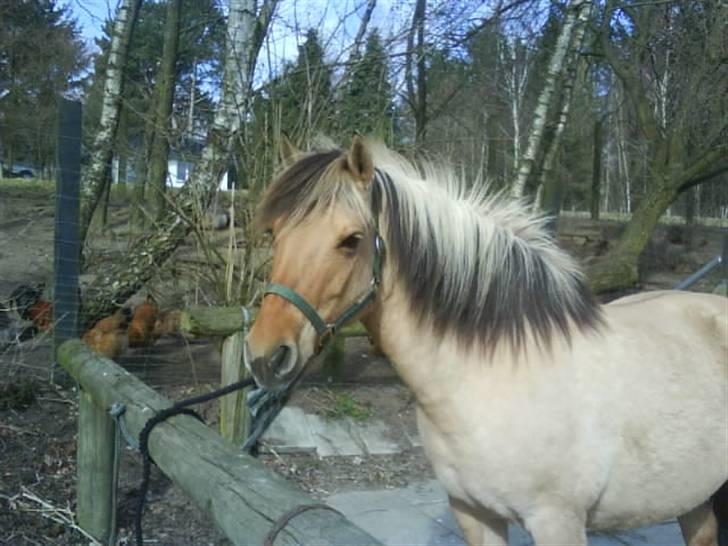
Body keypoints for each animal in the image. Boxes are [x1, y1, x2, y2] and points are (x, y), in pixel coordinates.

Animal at [246, 137, 728, 544]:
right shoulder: (473, 513)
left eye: (351, 241)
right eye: (273, 233)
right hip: (694, 495)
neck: (494, 371)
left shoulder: (557, 522)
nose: (266, 356)